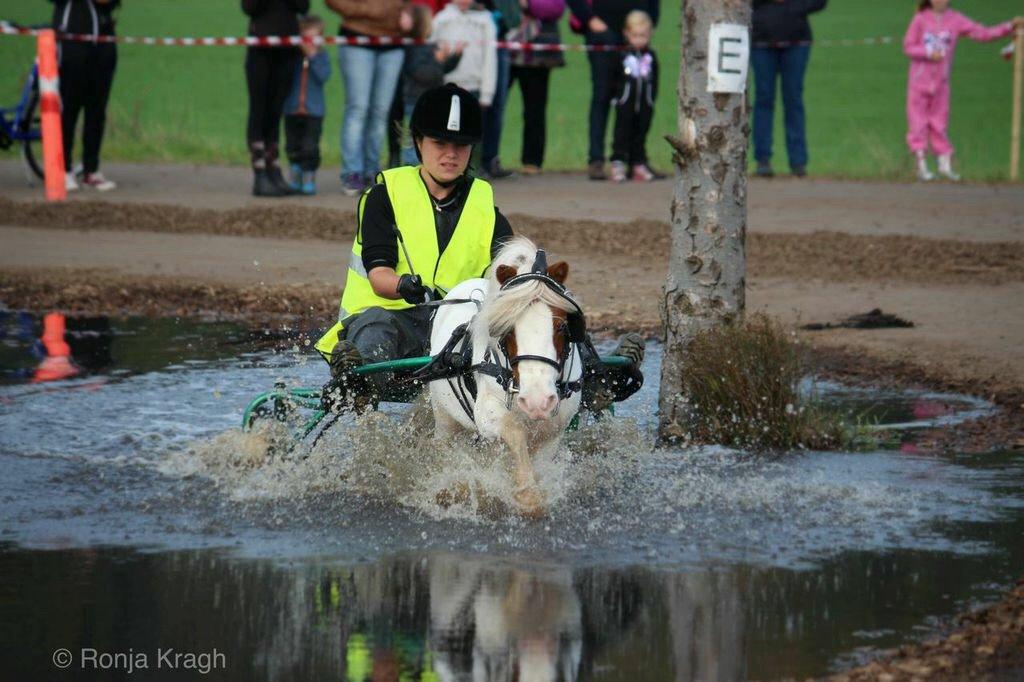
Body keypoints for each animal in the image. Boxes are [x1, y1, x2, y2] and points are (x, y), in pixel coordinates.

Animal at [423, 236, 585, 512]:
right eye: (506, 329)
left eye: (562, 326)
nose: (537, 400)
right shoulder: (488, 414)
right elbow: (514, 433)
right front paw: (525, 493)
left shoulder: (555, 428)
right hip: (444, 416)